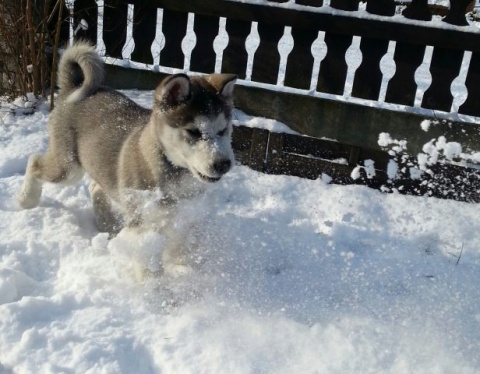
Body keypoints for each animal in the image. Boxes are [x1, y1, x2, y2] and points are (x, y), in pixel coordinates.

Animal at [18, 41, 236, 268]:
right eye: (193, 131)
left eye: (224, 130)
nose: (223, 164)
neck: (174, 172)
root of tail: (73, 87)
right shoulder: (144, 224)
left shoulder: (185, 219)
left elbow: (181, 248)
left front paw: (182, 270)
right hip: (68, 168)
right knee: (35, 162)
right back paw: (26, 200)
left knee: (95, 186)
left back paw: (107, 226)